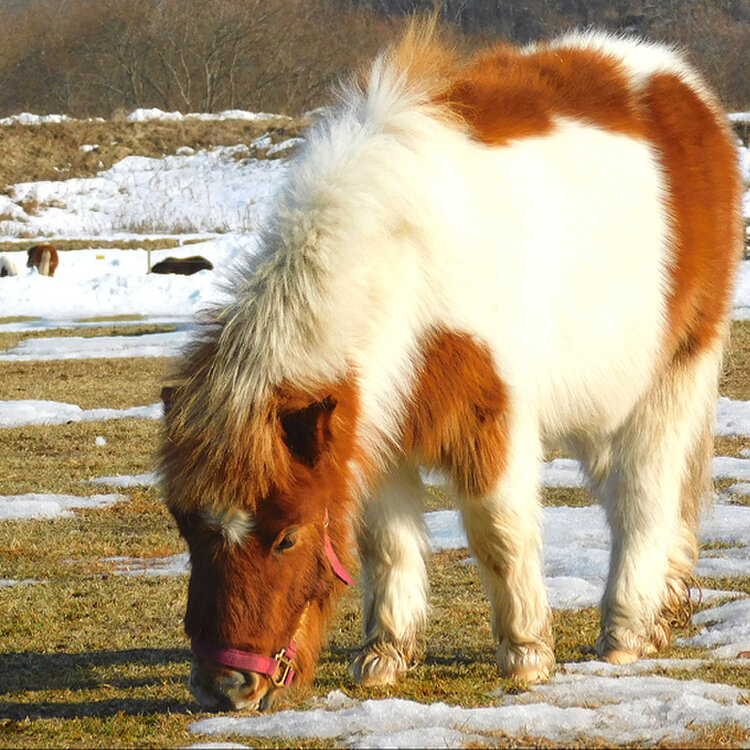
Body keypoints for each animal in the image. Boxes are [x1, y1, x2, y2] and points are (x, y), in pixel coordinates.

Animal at [160, 23, 743, 712]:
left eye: (287, 537)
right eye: (187, 528)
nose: (223, 687)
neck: (403, 259)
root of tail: (684, 88)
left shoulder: (492, 420)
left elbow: (499, 532)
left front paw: (526, 655)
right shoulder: (371, 431)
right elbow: (386, 545)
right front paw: (384, 657)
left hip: (670, 379)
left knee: (643, 498)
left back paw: (625, 634)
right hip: (603, 395)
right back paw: (658, 616)